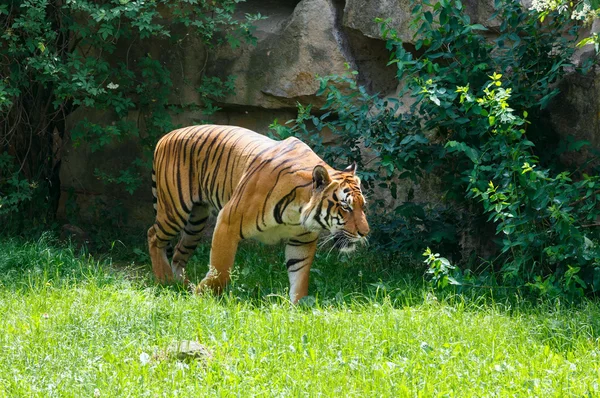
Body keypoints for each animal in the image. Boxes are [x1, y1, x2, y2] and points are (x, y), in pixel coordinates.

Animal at [148, 124, 368, 302]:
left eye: (362, 206)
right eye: (345, 206)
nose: (364, 233)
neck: (297, 212)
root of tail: (166, 136)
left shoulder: (302, 240)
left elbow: (300, 275)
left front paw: (297, 307)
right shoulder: (227, 222)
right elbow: (221, 269)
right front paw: (202, 295)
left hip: (196, 221)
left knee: (179, 251)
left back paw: (180, 285)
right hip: (175, 210)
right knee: (153, 236)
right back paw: (165, 280)